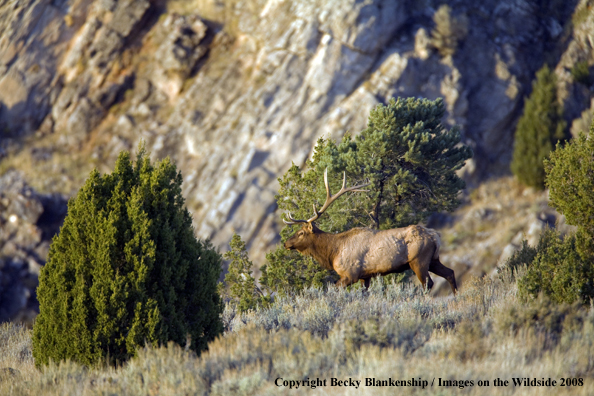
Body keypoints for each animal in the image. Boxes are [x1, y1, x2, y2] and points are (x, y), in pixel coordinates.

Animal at [282, 169, 458, 296]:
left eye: (301, 233)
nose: (285, 243)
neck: (333, 251)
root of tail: (435, 236)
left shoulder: (350, 274)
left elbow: (333, 289)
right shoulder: (364, 276)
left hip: (418, 260)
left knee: (428, 283)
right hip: (433, 259)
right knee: (449, 272)